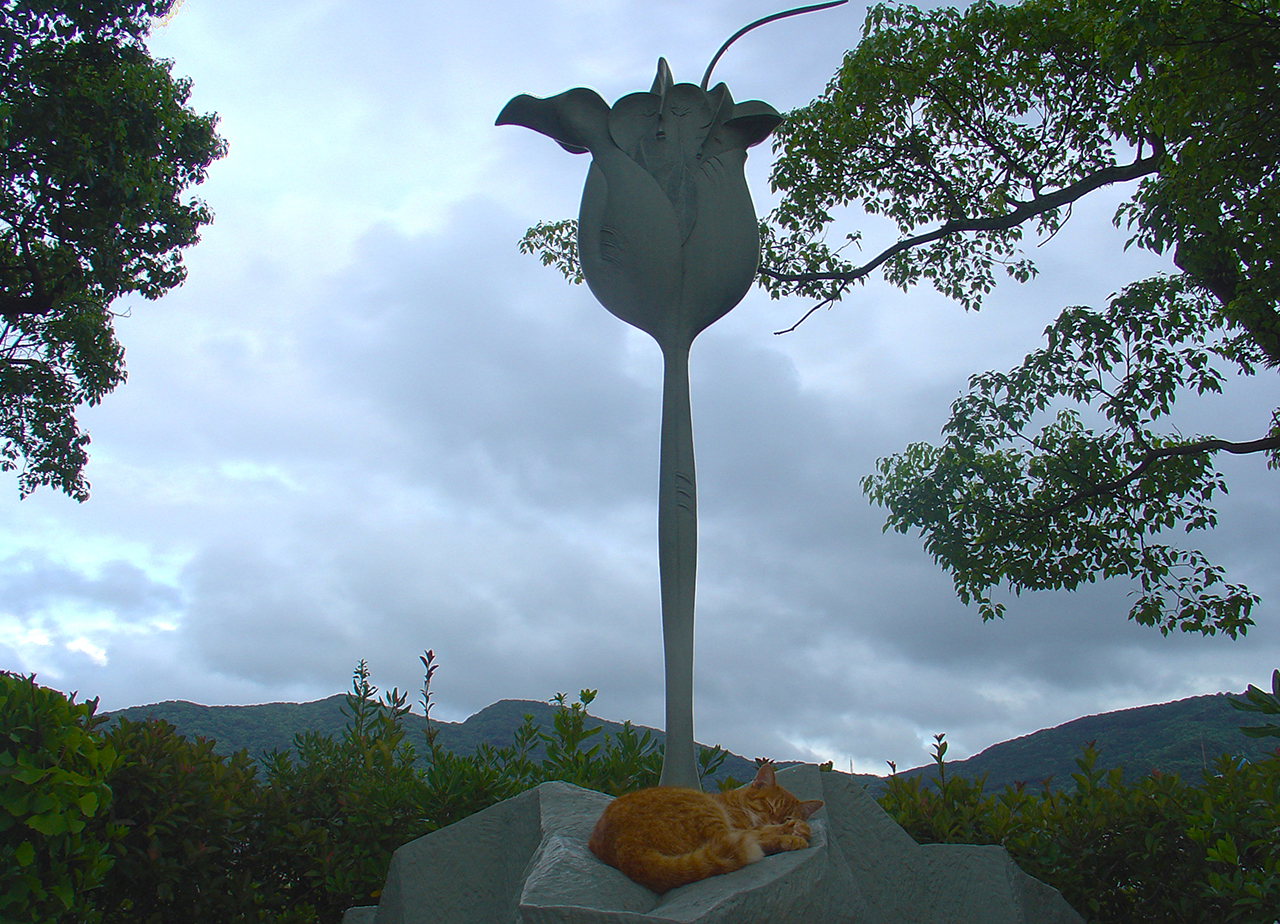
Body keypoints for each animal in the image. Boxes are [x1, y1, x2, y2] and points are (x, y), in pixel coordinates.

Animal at [586, 757, 824, 890]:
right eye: (768, 806)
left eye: (787, 815)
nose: (776, 820)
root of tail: (626, 846)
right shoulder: (742, 825)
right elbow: (762, 830)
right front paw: (795, 830)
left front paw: (792, 828)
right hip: (707, 812)